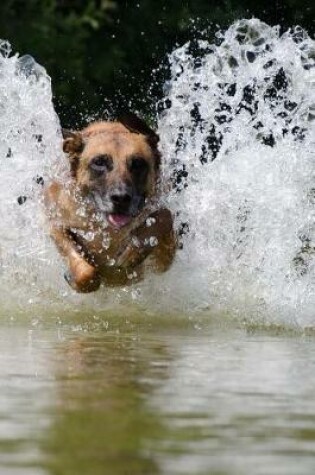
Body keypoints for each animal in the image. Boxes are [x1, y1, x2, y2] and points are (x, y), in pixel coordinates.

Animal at [44, 115, 177, 294]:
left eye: (138, 163)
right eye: (99, 162)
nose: (121, 198)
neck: (109, 231)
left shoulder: (163, 262)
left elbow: (164, 215)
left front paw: (134, 251)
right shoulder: (54, 223)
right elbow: (85, 270)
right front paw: (76, 278)